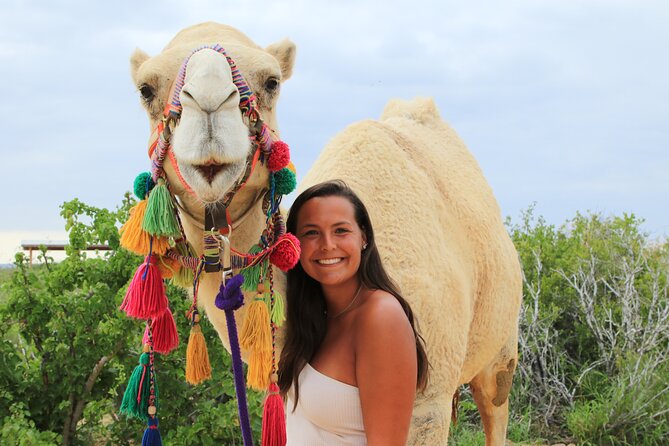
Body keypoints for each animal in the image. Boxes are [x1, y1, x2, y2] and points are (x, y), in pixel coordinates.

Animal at [128, 20, 520, 442]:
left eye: (272, 81)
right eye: (145, 89)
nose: (209, 102)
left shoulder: (429, 396)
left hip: (501, 348)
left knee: (495, 405)